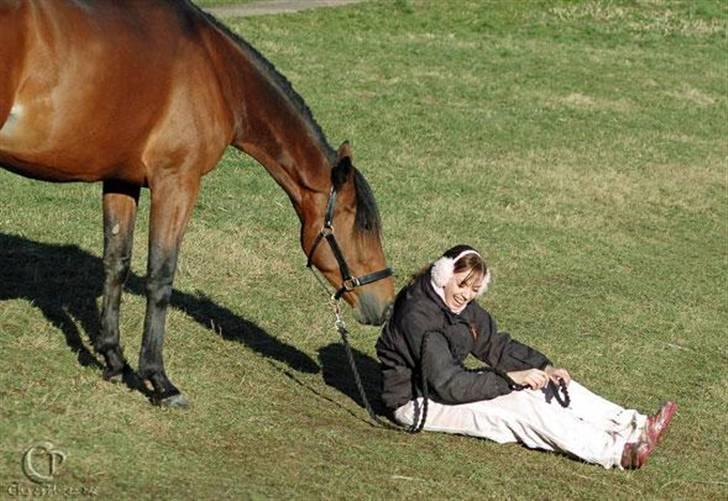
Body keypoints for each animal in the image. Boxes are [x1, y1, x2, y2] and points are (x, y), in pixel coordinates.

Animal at [0, 0, 396, 406]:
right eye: (363, 226)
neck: (219, 73)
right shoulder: (177, 182)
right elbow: (161, 276)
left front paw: (115, 362)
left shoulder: (122, 180)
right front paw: (159, 381)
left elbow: (116, 263)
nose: (384, 303)